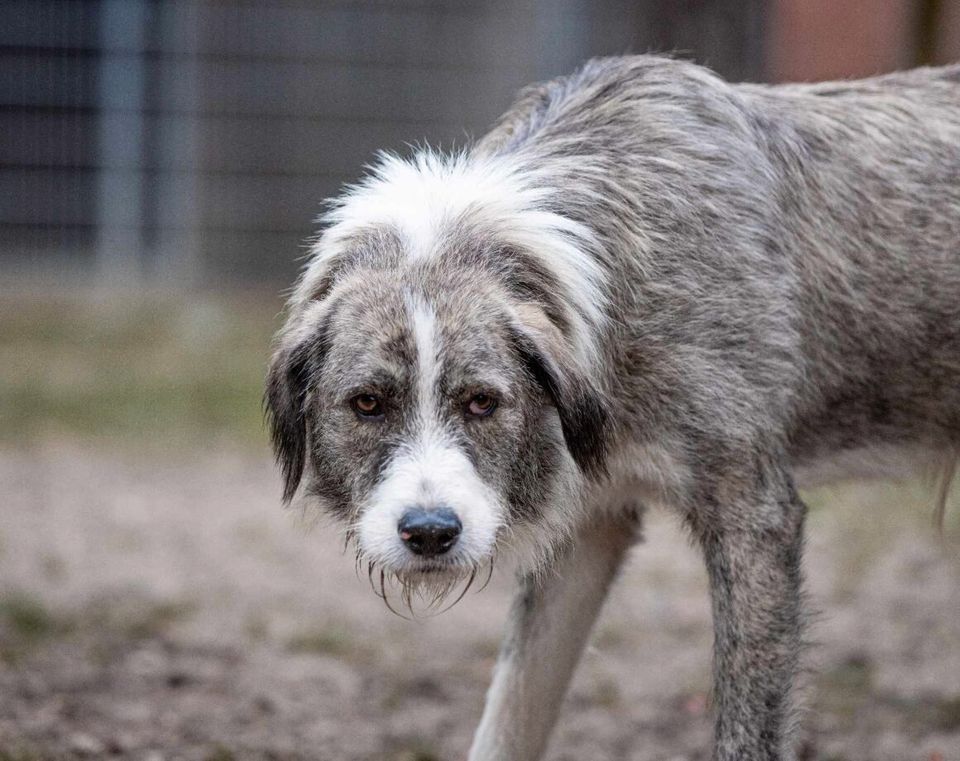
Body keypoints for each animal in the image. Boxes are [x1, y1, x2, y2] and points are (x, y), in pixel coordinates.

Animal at [266, 56, 960, 756]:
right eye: (368, 403)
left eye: (483, 402)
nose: (431, 534)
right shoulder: (589, 528)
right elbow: (506, 723)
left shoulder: (755, 518)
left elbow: (745, 735)